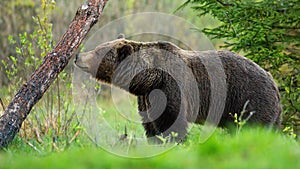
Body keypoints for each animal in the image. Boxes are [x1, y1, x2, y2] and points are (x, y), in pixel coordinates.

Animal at [74, 35, 282, 143]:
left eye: (98, 51)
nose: (77, 56)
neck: (150, 77)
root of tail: (273, 80)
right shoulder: (147, 97)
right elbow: (150, 124)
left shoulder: (171, 88)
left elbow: (172, 121)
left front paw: (175, 142)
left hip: (249, 98)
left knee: (255, 127)